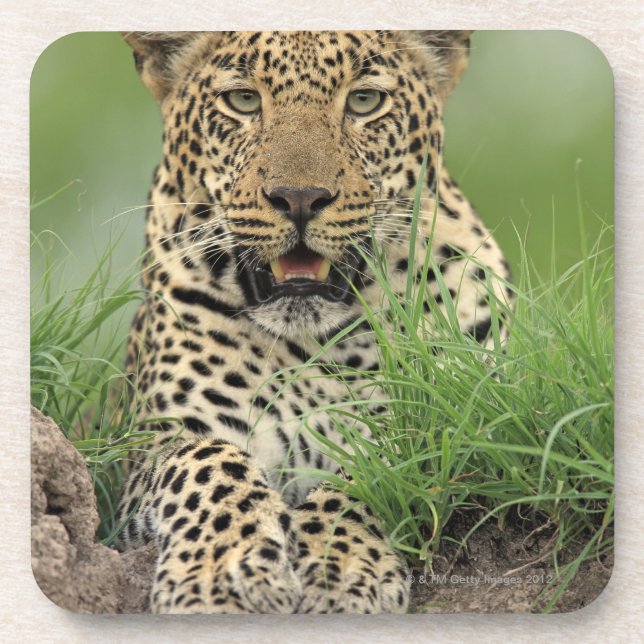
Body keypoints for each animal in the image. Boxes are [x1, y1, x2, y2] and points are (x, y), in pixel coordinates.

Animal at [115, 30, 512, 614]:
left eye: (364, 101)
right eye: (244, 100)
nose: (300, 199)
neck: (320, 346)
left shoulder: (458, 421)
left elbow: (374, 470)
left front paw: (339, 571)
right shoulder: (155, 443)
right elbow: (209, 464)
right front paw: (220, 573)